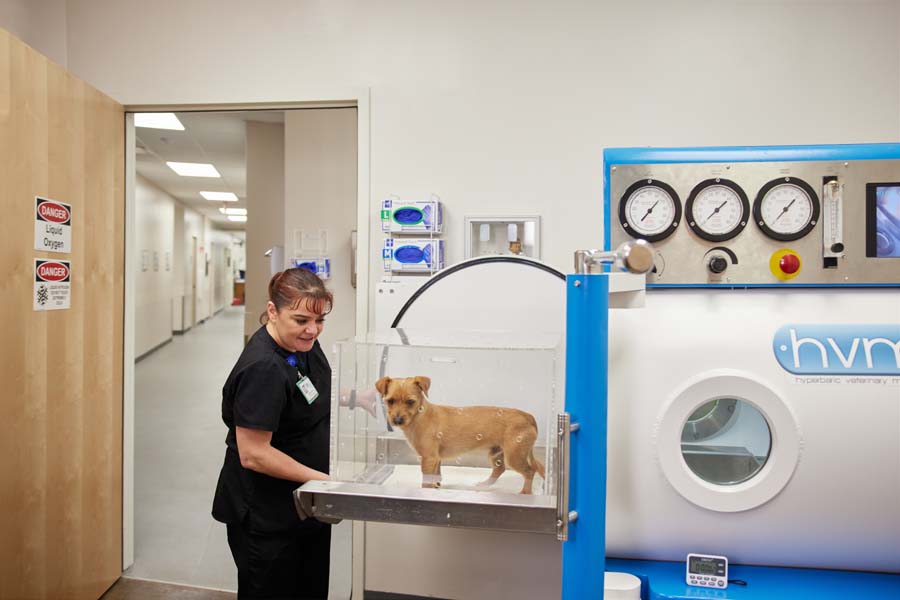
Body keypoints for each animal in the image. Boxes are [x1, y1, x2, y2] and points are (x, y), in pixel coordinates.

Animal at [370, 376, 544, 496]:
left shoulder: (428, 458)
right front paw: (436, 486)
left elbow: (426, 480)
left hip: (514, 456)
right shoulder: (435, 459)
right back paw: (484, 485)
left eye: (410, 402)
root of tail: (527, 416)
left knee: (530, 471)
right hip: (496, 453)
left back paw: (525, 493)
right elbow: (435, 476)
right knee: (499, 470)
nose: (397, 420)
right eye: (390, 401)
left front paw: (425, 492)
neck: (420, 416)